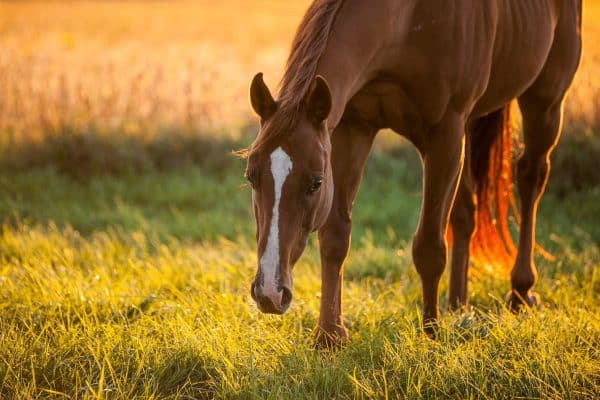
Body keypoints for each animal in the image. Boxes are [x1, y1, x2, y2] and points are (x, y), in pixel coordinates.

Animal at [243, 0, 580, 346]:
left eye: (315, 183)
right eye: (250, 177)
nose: (270, 293)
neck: (406, 23)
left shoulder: (445, 134)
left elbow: (429, 245)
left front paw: (430, 332)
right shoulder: (352, 128)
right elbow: (335, 236)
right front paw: (329, 335)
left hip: (546, 101)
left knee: (530, 178)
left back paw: (521, 290)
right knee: (466, 211)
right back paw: (458, 305)